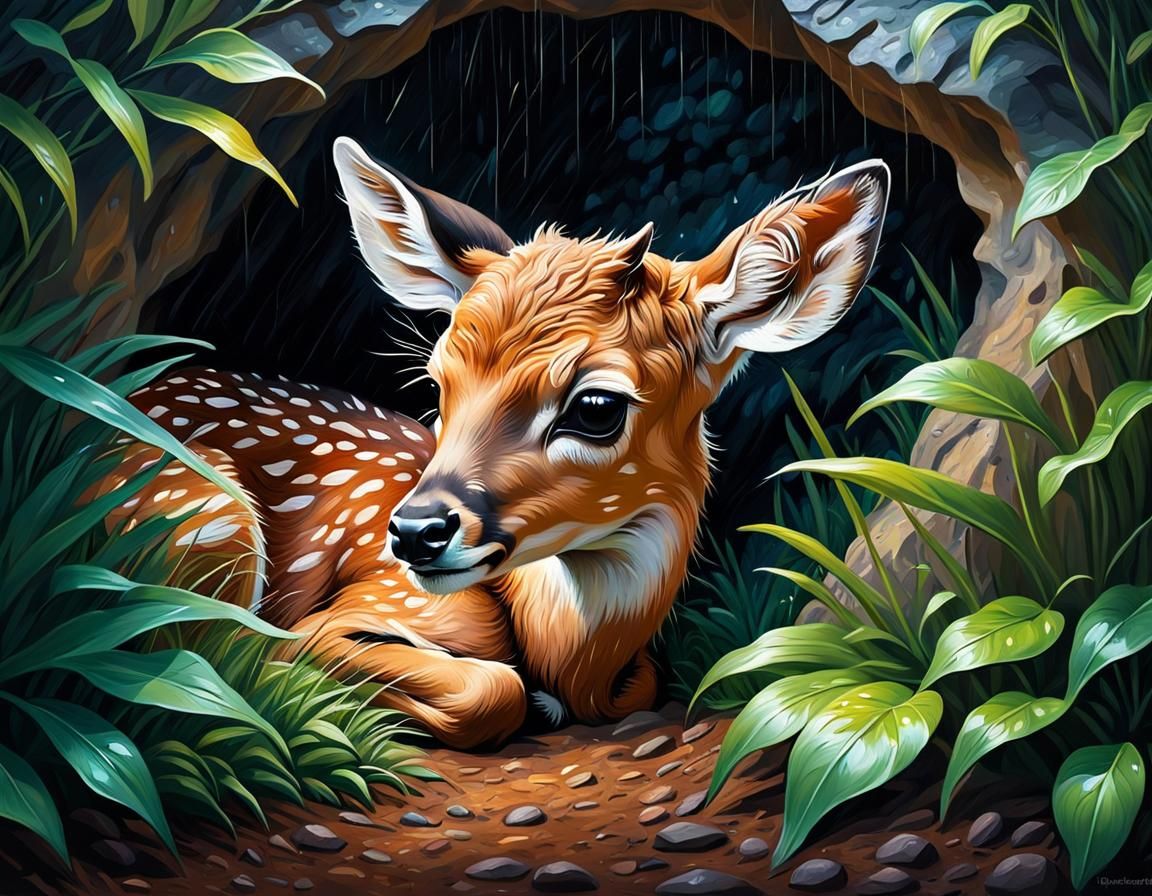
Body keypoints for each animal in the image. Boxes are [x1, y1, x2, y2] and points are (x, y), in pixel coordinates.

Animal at [100, 137, 889, 749]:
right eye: (438, 378)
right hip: (202, 515)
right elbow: (488, 691)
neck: (574, 658)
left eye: (596, 406)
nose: (414, 531)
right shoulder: (359, 610)